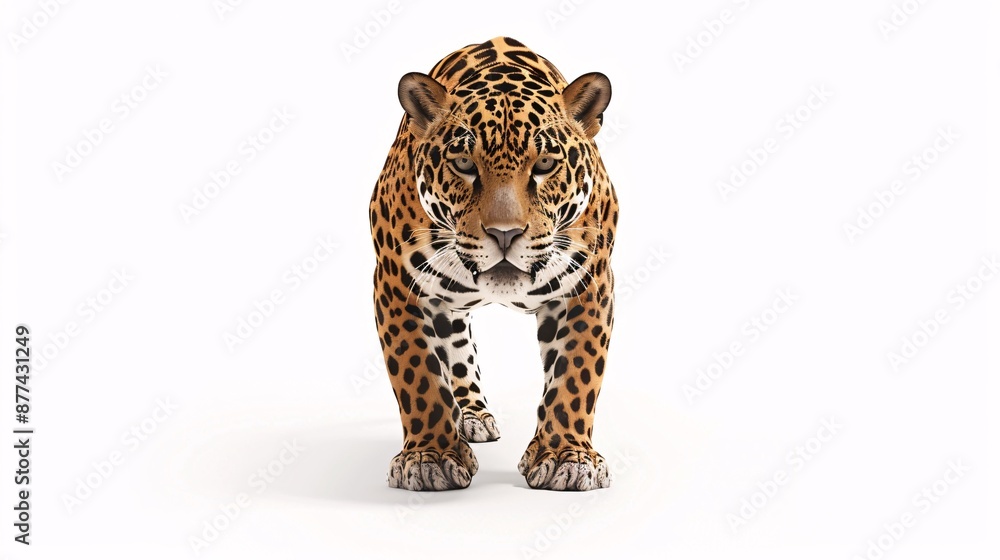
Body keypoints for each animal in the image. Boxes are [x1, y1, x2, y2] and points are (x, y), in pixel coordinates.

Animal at [369, 36, 618, 491]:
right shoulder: (395, 283)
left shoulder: (589, 283)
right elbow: (418, 374)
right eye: (464, 164)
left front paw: (566, 456)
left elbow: (576, 374)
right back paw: (467, 415)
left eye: (545, 164)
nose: (504, 234)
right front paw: (430, 456)